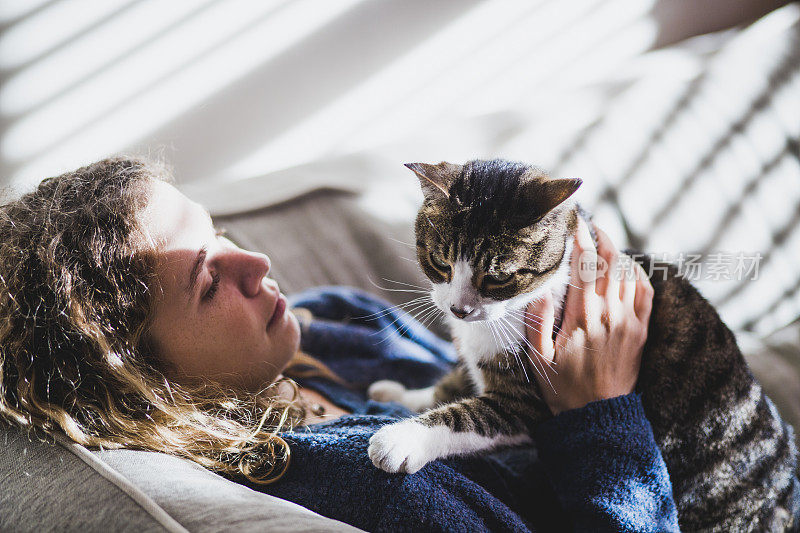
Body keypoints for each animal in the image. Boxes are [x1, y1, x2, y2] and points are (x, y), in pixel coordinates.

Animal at [366, 159, 796, 532]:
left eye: (498, 277)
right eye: (441, 263)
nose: (459, 309)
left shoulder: (532, 398)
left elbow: (473, 415)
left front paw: (400, 439)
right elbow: (456, 383)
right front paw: (402, 394)